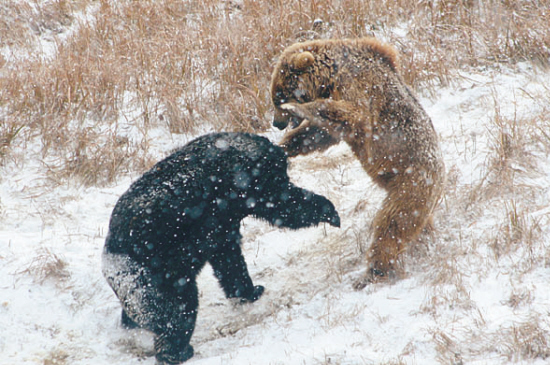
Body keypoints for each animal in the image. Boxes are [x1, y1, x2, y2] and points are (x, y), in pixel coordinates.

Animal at [101, 132, 338, 362]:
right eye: (281, 175)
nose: (286, 176)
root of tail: (109, 267)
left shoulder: (222, 223)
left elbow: (228, 259)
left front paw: (249, 291)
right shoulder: (240, 190)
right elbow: (281, 206)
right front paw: (328, 210)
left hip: (136, 285)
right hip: (155, 273)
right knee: (177, 310)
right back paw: (177, 351)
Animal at [272, 37, 448, 282]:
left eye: (278, 96)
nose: (276, 123)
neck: (330, 77)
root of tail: (442, 176)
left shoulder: (358, 86)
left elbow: (351, 114)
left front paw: (298, 107)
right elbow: (321, 133)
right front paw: (282, 146)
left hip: (413, 181)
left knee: (392, 223)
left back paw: (373, 272)